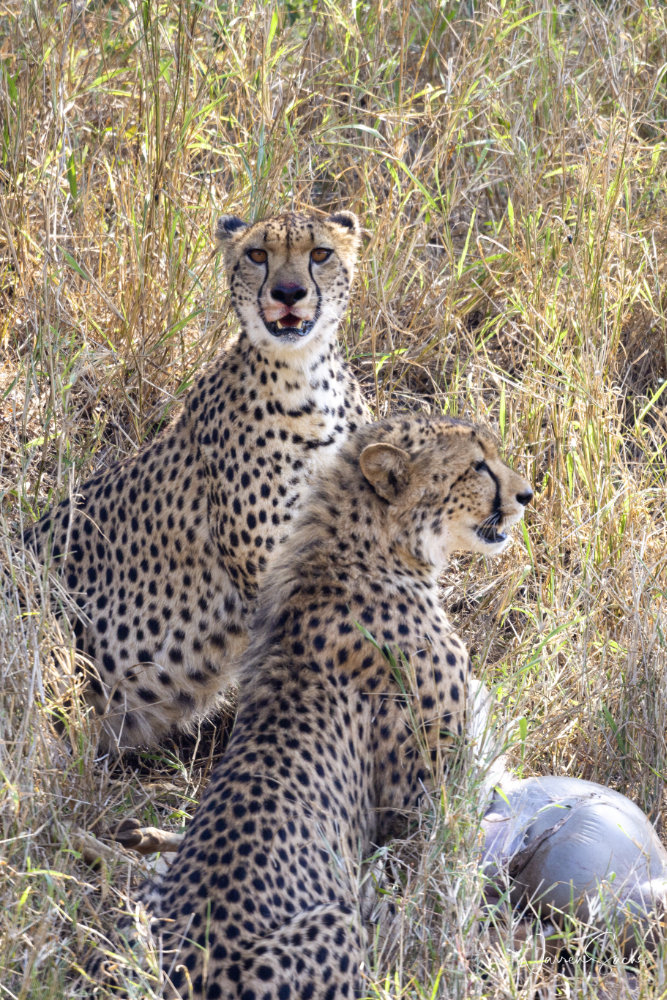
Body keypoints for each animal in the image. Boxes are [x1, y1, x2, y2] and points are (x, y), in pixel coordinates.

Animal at [101, 413, 532, 998]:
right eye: (478, 467)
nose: (526, 495)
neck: (370, 548)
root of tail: (181, 974)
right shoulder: (419, 804)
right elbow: (445, 872)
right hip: (332, 921)